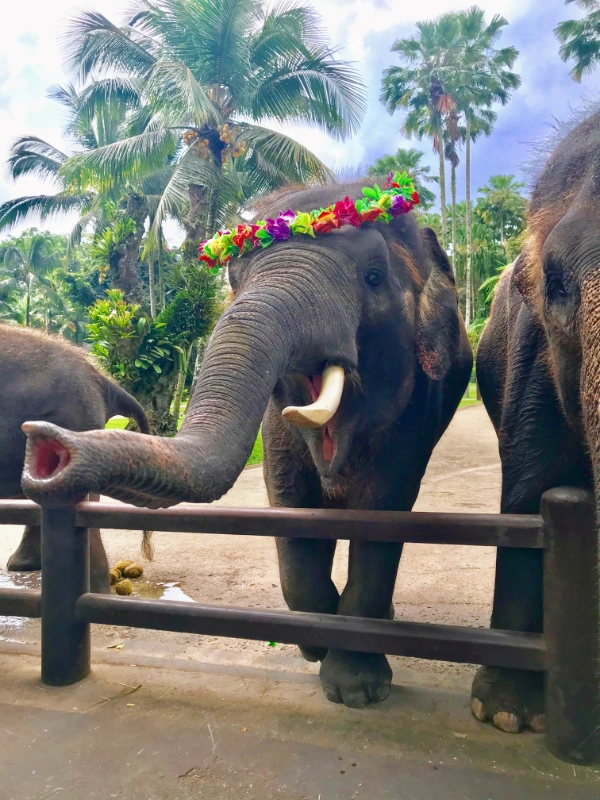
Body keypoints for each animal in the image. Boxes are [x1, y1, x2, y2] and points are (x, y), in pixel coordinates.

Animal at [18, 179, 473, 707]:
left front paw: (357, 690)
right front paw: (315, 640)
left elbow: (383, 509)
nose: (45, 445)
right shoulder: (277, 425)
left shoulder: (419, 405)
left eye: (374, 277)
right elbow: (288, 499)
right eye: (234, 281)